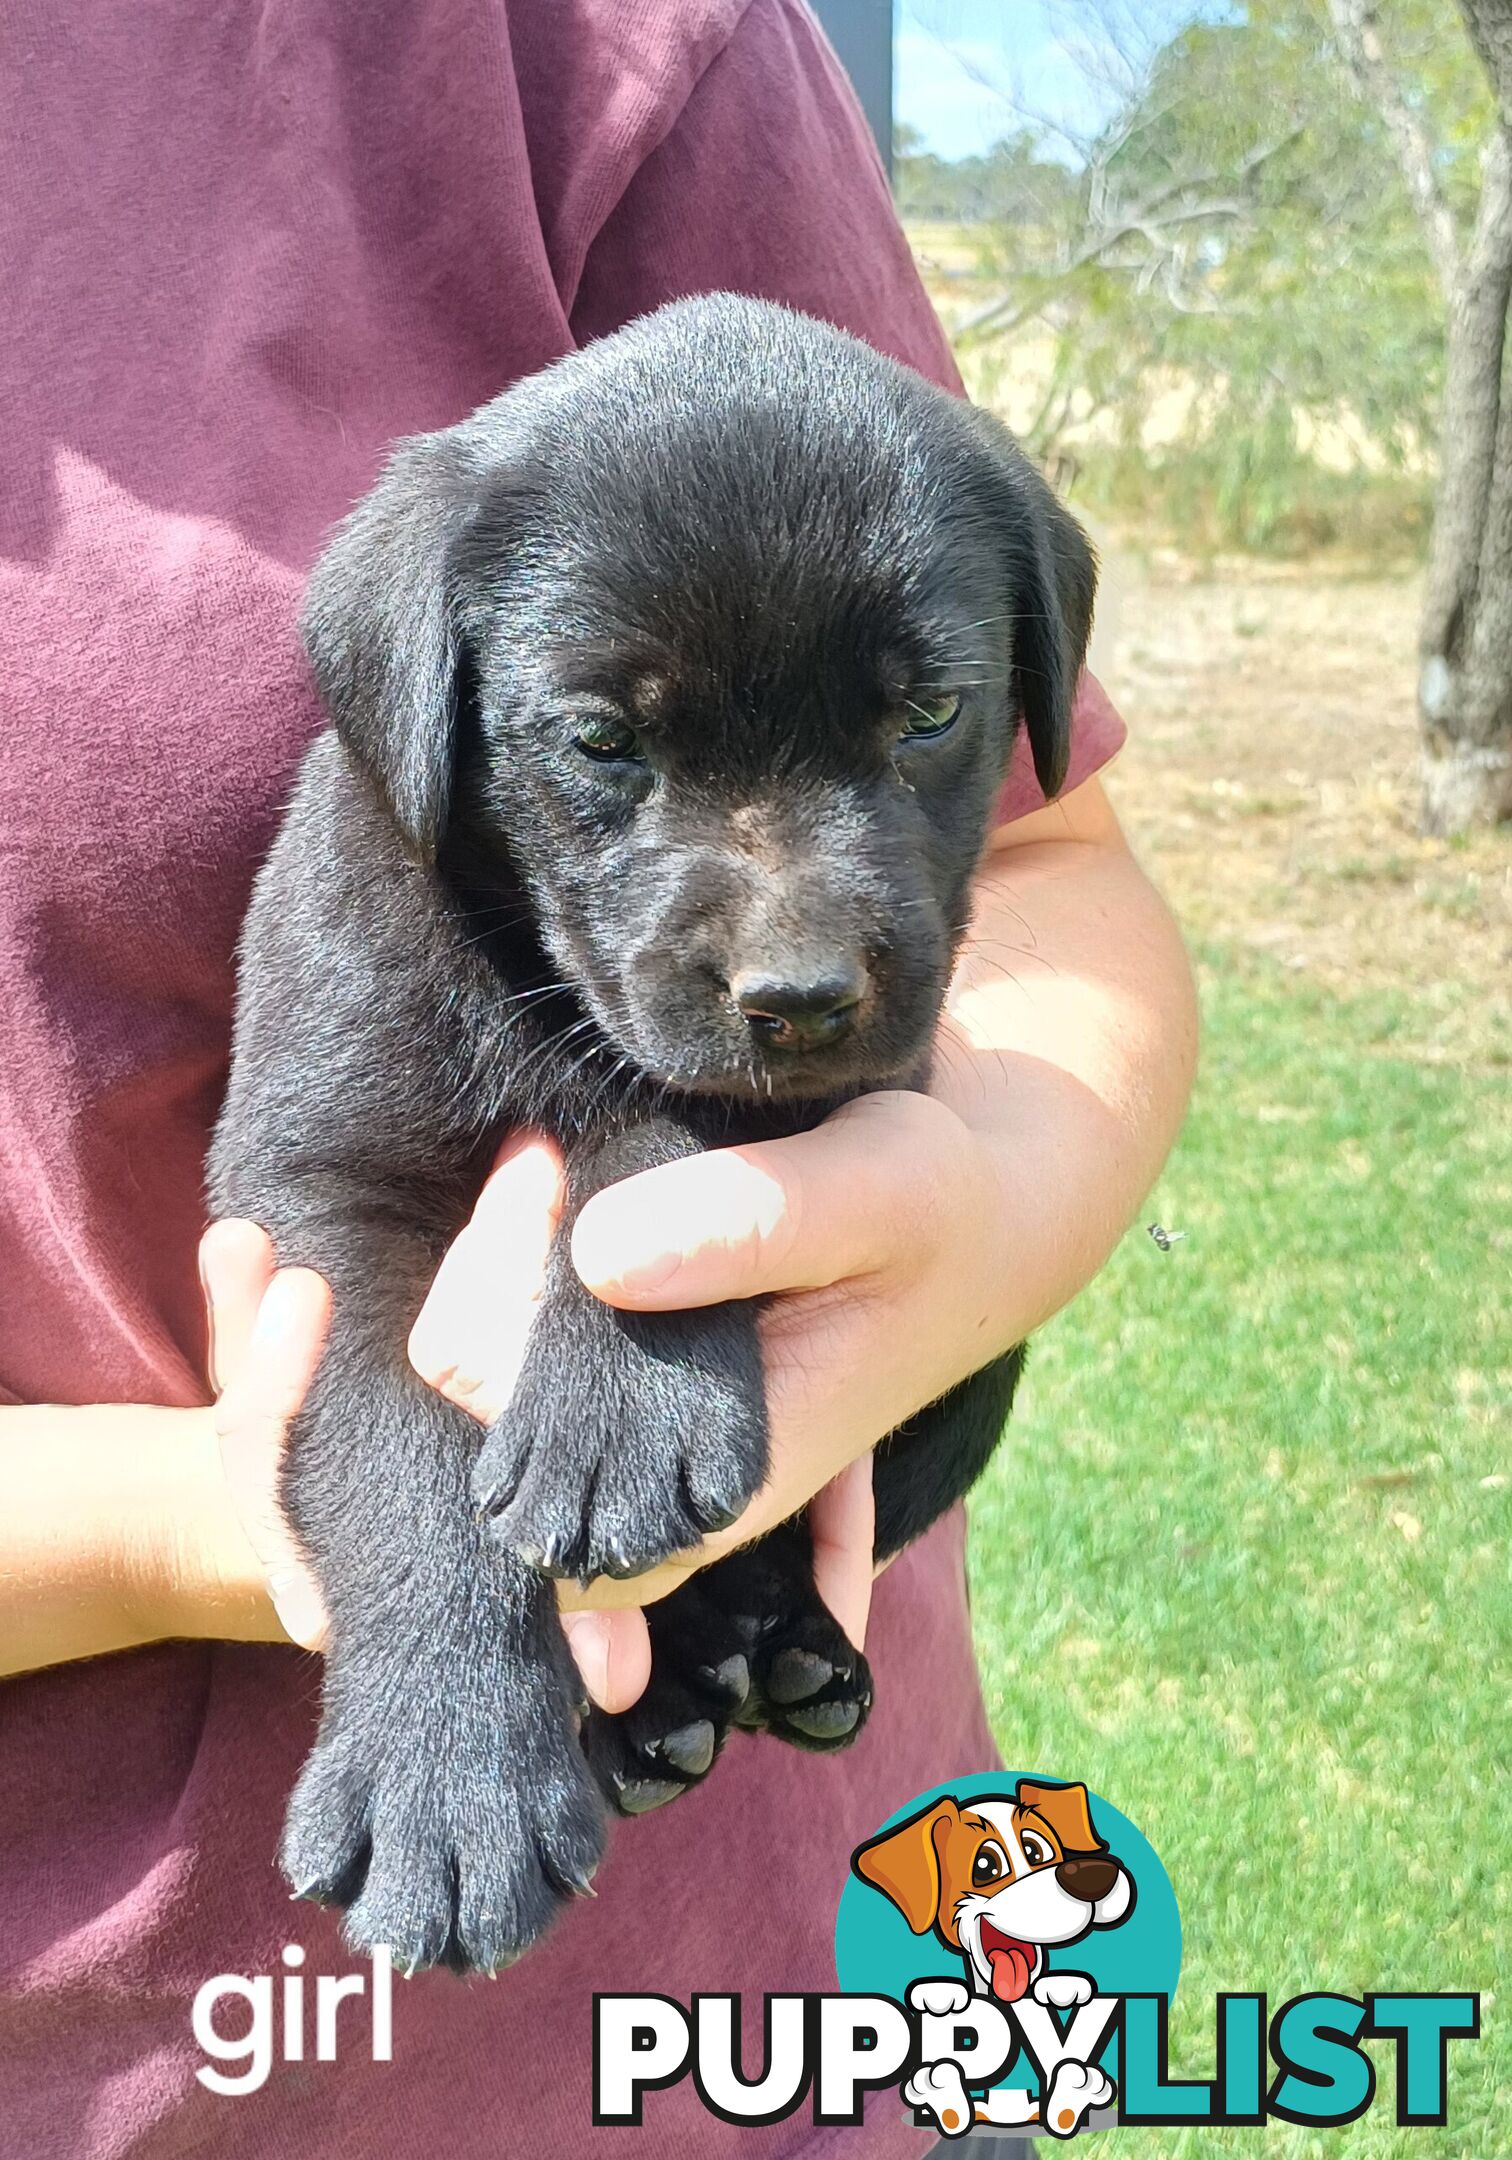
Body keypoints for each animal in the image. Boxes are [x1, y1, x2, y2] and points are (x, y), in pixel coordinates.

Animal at [206, 295, 1092, 1978]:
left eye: (931, 713)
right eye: (605, 739)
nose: (800, 995)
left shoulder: (853, 1079)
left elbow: (665, 1128)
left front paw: (622, 1403)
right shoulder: (319, 1187)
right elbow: (393, 1443)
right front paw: (448, 1776)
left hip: (980, 1363)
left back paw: (781, 1649)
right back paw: (663, 1704)